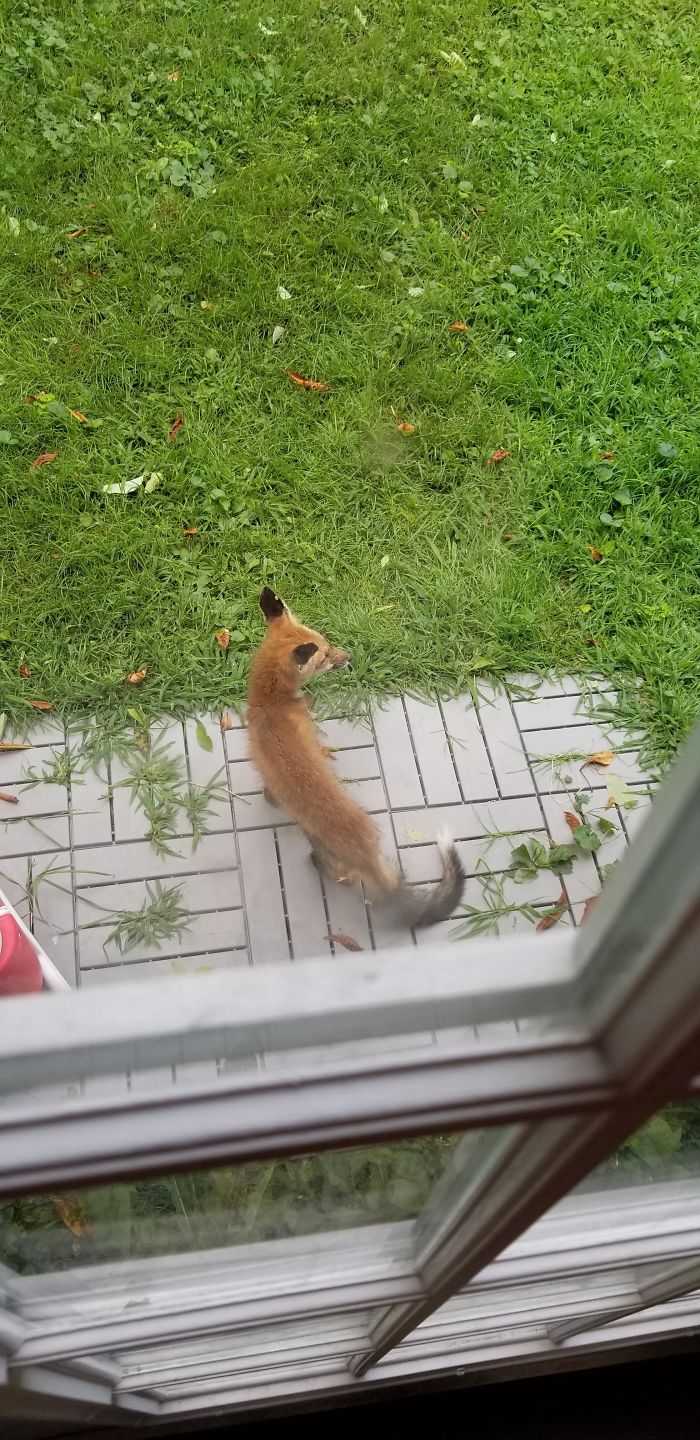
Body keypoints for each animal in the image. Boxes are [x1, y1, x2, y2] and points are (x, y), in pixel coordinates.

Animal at [246, 587, 465, 927]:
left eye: (327, 643)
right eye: (325, 655)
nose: (349, 656)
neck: (271, 704)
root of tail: (366, 853)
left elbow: (270, 793)